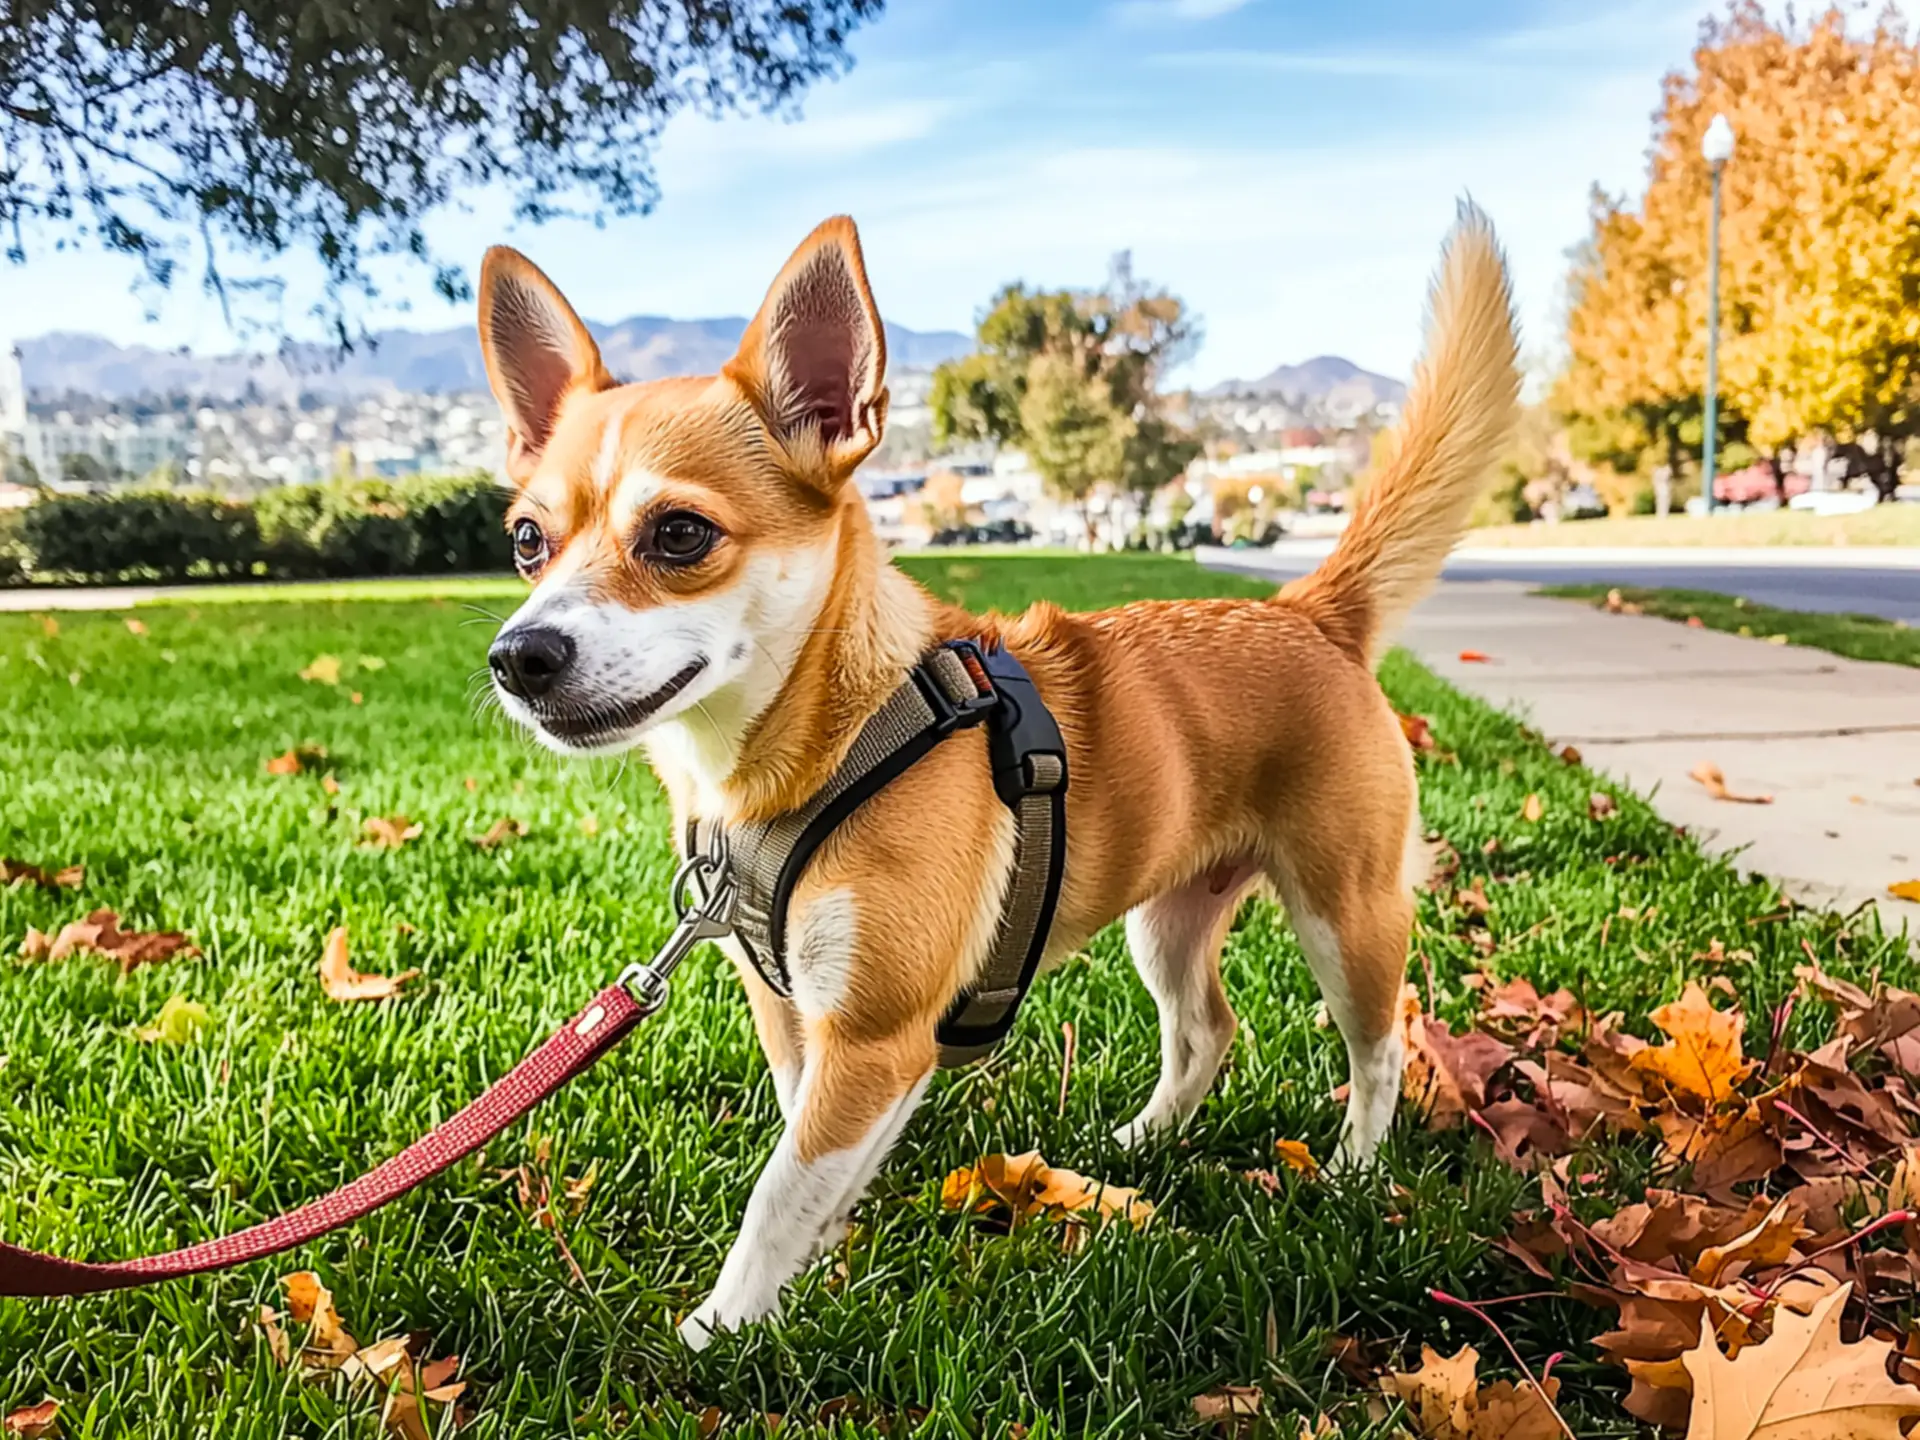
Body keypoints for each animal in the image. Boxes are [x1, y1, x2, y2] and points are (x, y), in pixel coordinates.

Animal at [476, 208, 1512, 1351]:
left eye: (680, 533)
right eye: (526, 541)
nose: (519, 655)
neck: (822, 748)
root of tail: (1309, 610)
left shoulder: (874, 1038)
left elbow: (777, 1189)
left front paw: (723, 1328)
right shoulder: (798, 1020)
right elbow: (804, 1153)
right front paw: (815, 1264)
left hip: (1346, 915)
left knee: (1378, 1053)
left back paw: (1355, 1175)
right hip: (1169, 921)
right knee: (1206, 1032)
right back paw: (1145, 1145)